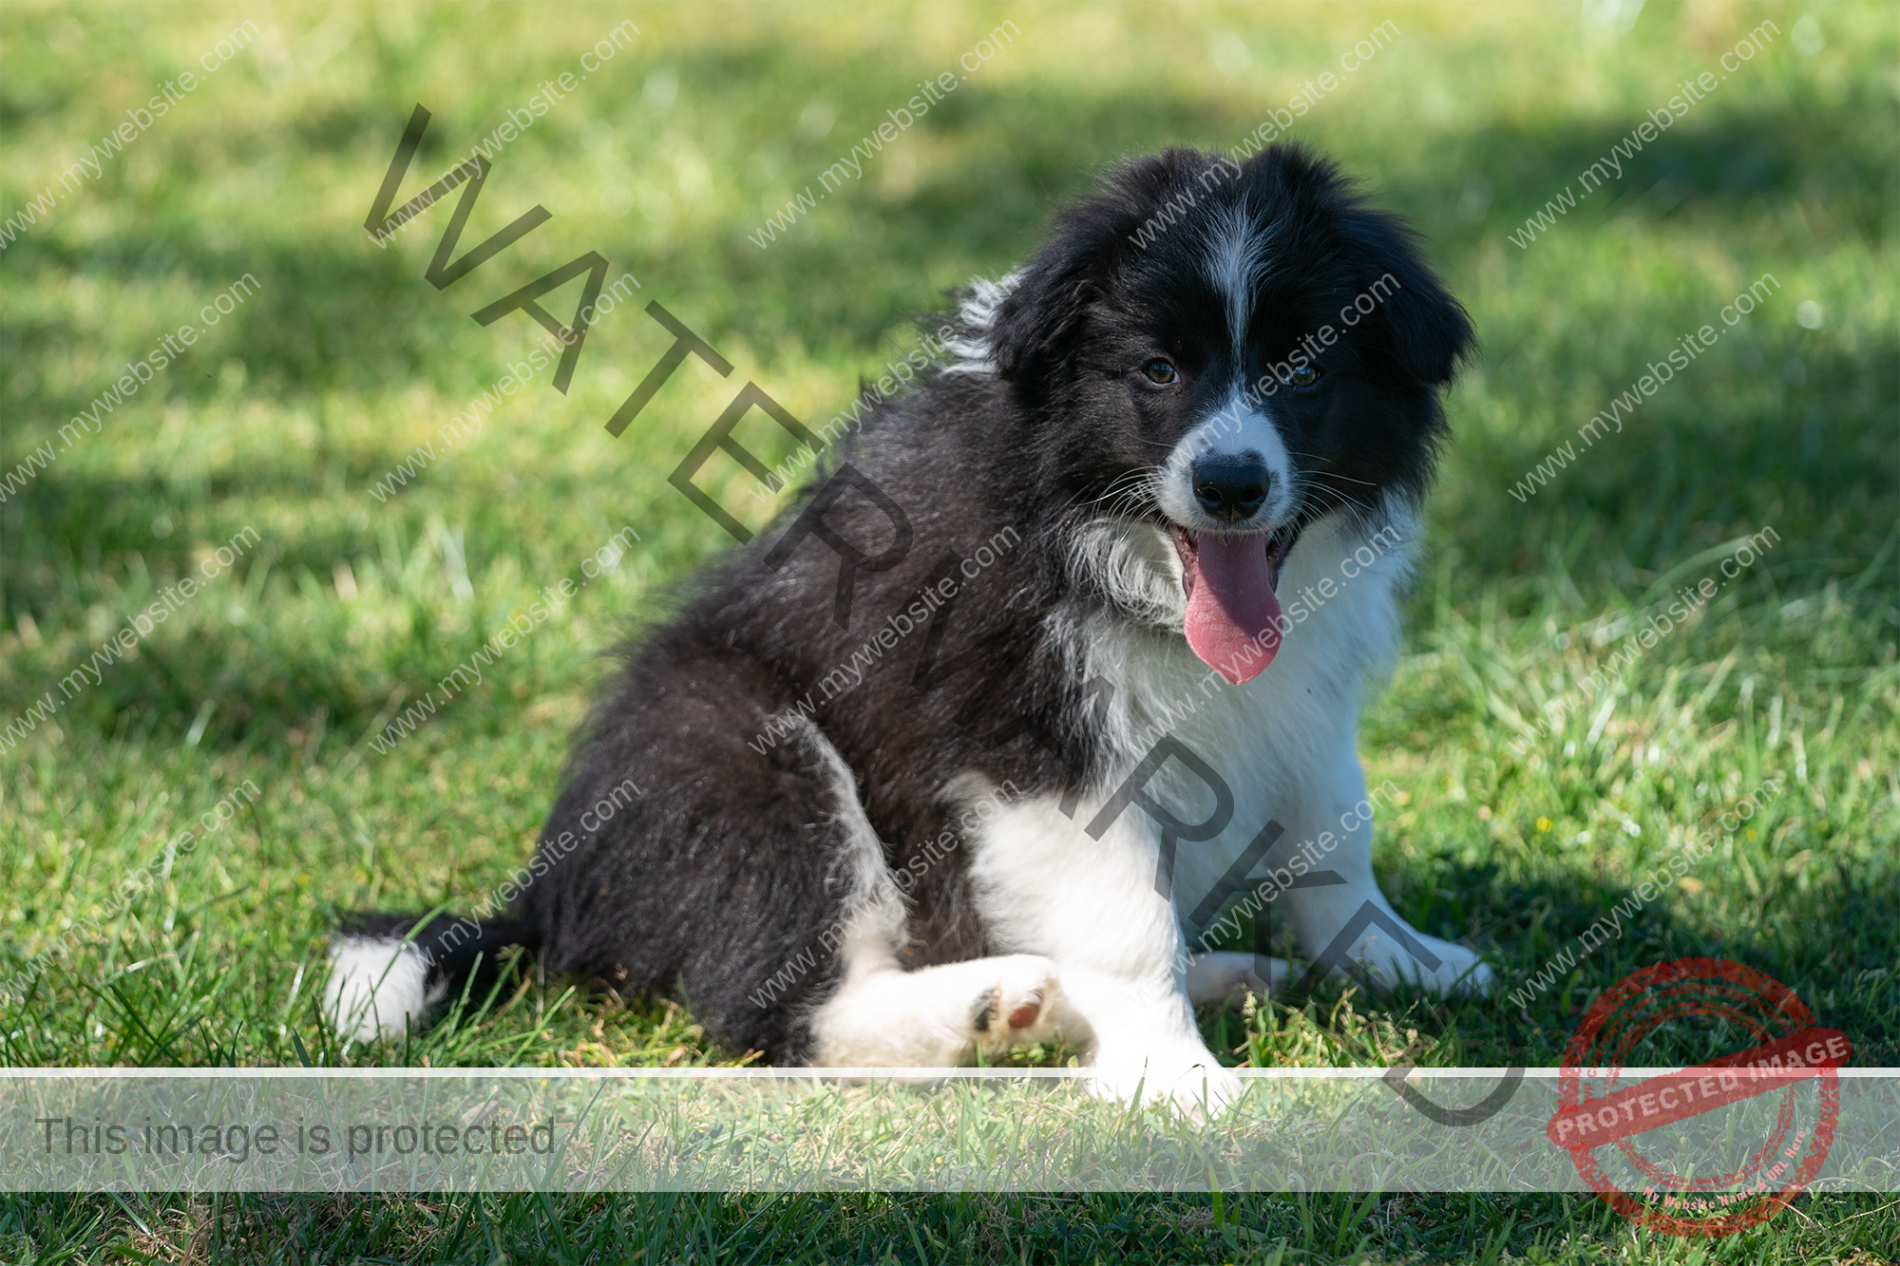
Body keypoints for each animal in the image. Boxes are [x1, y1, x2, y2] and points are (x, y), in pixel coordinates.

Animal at [326, 140, 1482, 1102]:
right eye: (1157, 370)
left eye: (1307, 368)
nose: (1232, 485)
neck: (1114, 541)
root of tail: (548, 892)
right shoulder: (1035, 731)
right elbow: (1123, 914)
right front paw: (1170, 1075)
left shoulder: (1300, 692)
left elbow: (1336, 834)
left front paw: (1403, 961)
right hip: (737, 753)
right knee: (783, 1011)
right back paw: (997, 1007)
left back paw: (1205, 980)